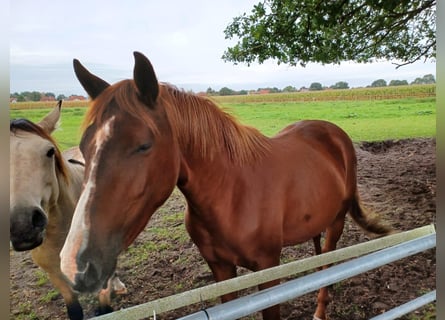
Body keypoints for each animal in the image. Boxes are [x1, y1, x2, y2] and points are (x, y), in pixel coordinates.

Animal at [60, 52, 390, 320]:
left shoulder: (268, 269)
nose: (75, 265)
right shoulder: (221, 270)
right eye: (84, 148)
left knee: (328, 264)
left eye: (143, 145)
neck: (232, 195)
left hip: (337, 222)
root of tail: (333, 133)